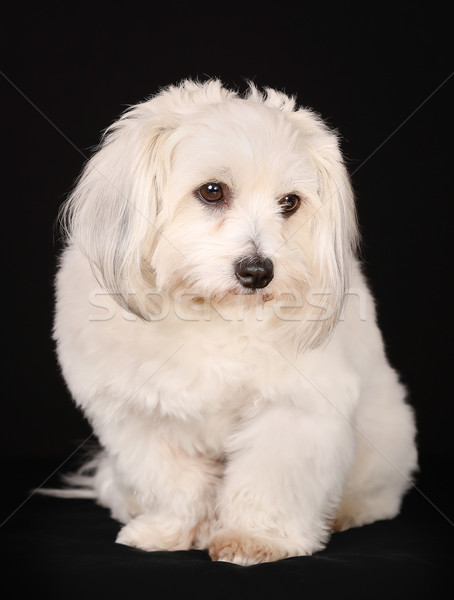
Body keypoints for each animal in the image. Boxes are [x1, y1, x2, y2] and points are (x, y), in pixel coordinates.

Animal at [51, 77, 416, 564]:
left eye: (290, 202)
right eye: (211, 191)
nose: (258, 272)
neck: (210, 307)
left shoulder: (294, 410)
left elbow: (269, 479)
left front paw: (254, 538)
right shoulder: (138, 417)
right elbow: (173, 483)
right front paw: (172, 531)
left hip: (385, 436)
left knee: (377, 493)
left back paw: (346, 511)